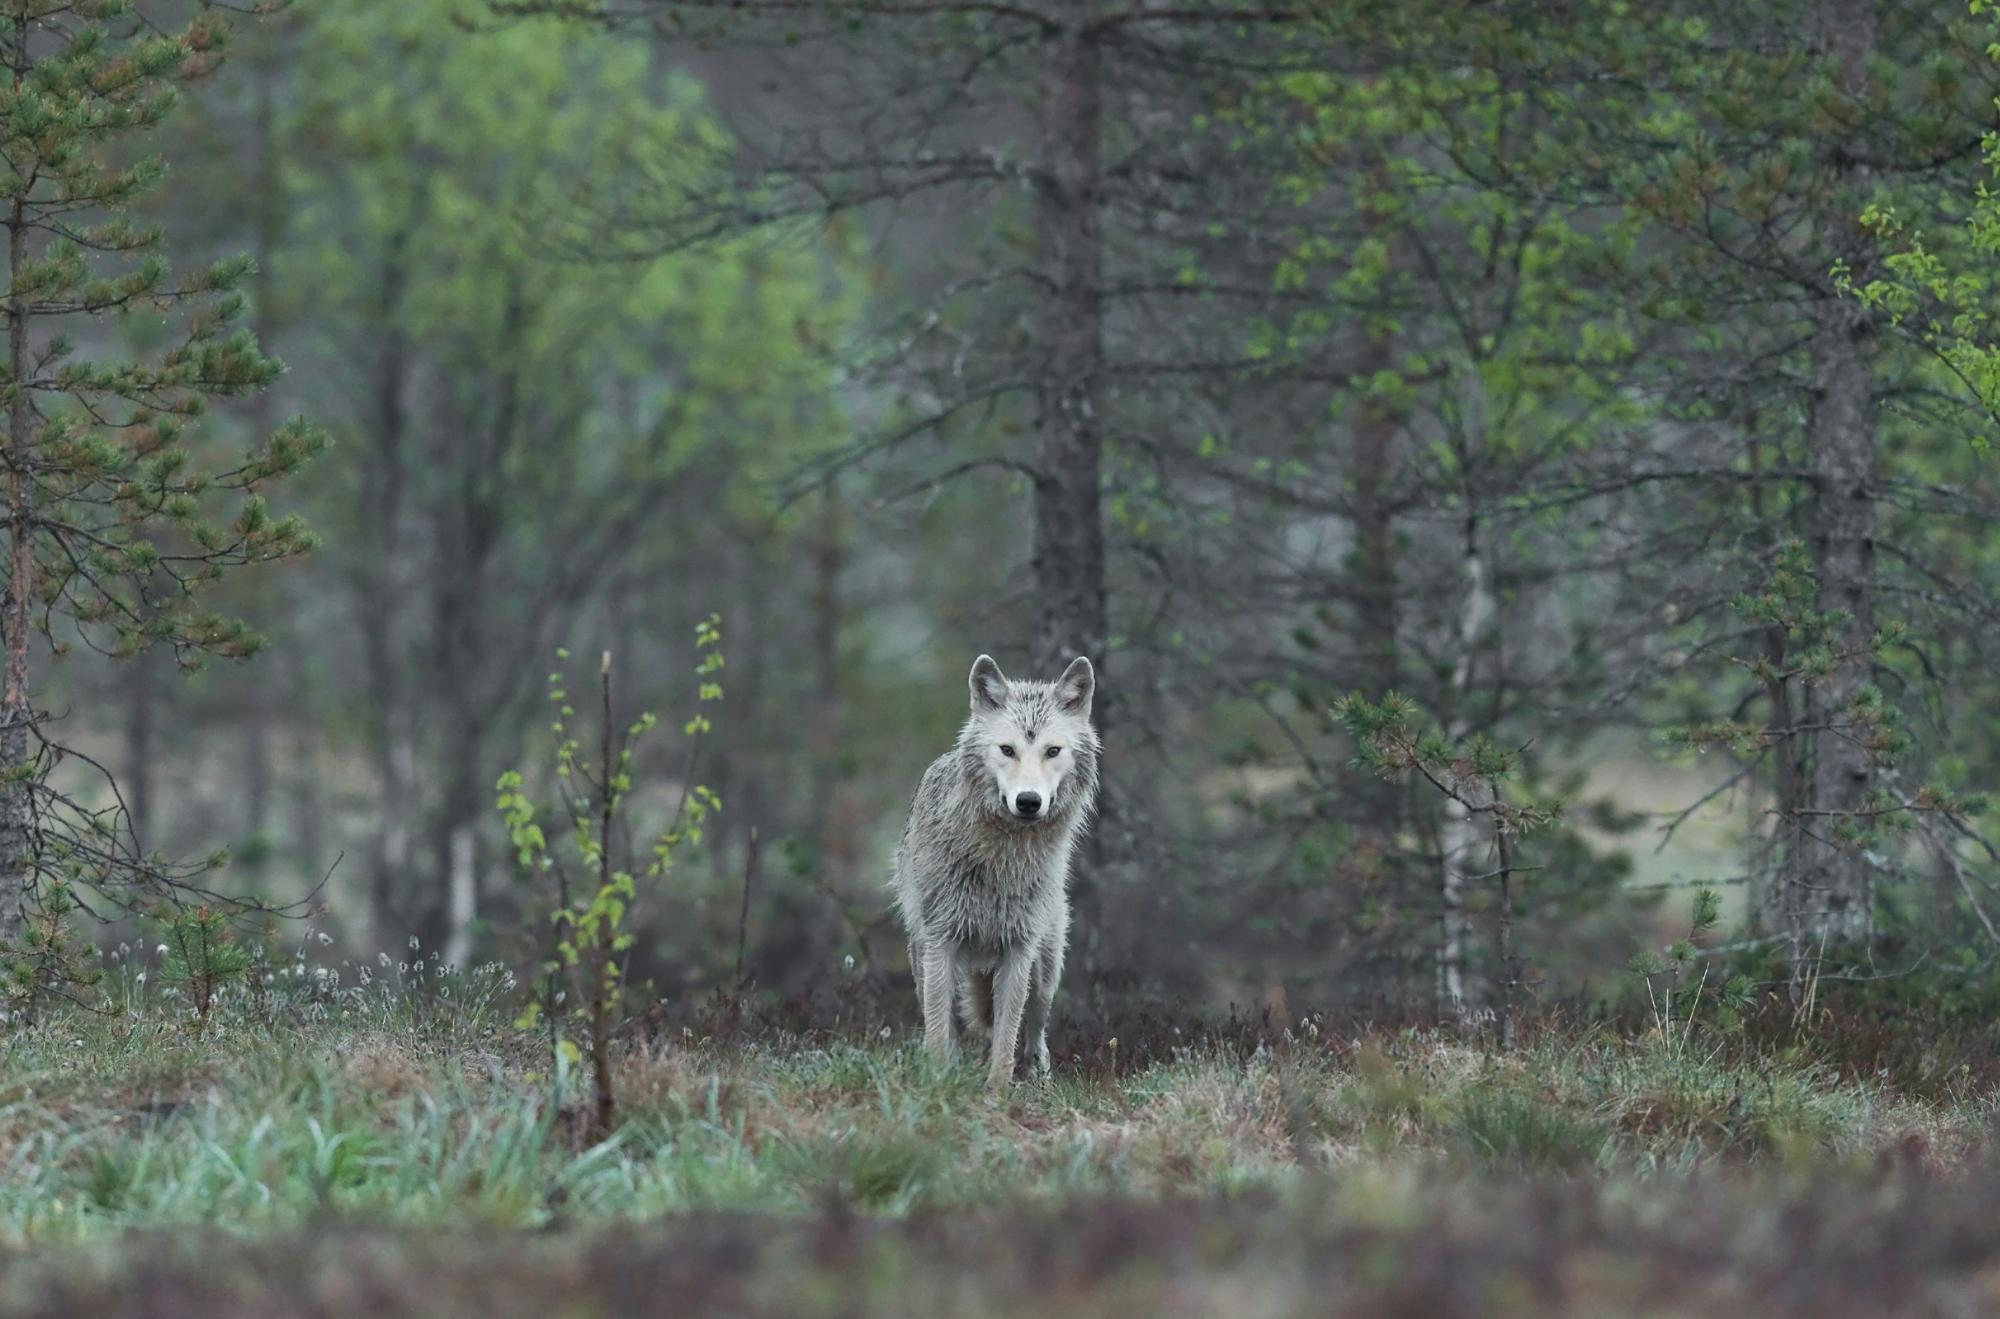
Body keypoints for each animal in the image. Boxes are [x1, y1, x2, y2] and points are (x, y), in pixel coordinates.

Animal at [891, 653, 1100, 1089]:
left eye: (1052, 751)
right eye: (1007, 749)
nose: (1028, 801)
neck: (1002, 859)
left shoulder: (1019, 949)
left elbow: (1006, 1037)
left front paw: (997, 1092)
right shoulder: (941, 943)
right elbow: (939, 1032)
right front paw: (938, 1085)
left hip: (1045, 970)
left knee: (1035, 1033)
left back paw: (1039, 1080)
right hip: (923, 958)